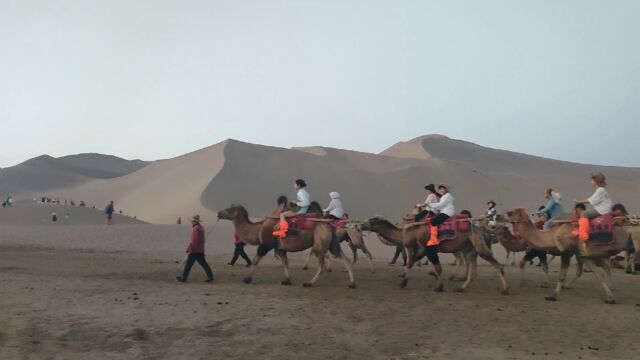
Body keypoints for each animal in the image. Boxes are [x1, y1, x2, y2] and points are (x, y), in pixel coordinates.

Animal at [216, 204, 356, 288]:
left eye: (229, 209)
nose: (218, 213)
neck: (259, 228)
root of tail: (328, 224)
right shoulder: (280, 248)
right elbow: (285, 263)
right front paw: (287, 280)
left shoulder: (265, 245)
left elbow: (256, 261)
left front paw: (246, 279)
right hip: (332, 243)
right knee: (345, 259)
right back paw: (352, 284)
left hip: (320, 243)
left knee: (321, 265)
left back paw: (308, 283)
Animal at [358, 215, 508, 294]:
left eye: (372, 220)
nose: (360, 225)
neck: (411, 233)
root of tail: (485, 232)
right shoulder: (424, 250)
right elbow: (412, 263)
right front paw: (403, 282)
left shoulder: (427, 249)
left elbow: (435, 267)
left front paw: (439, 287)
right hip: (469, 249)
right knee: (473, 270)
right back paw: (460, 288)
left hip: (478, 246)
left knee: (498, 265)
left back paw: (505, 290)